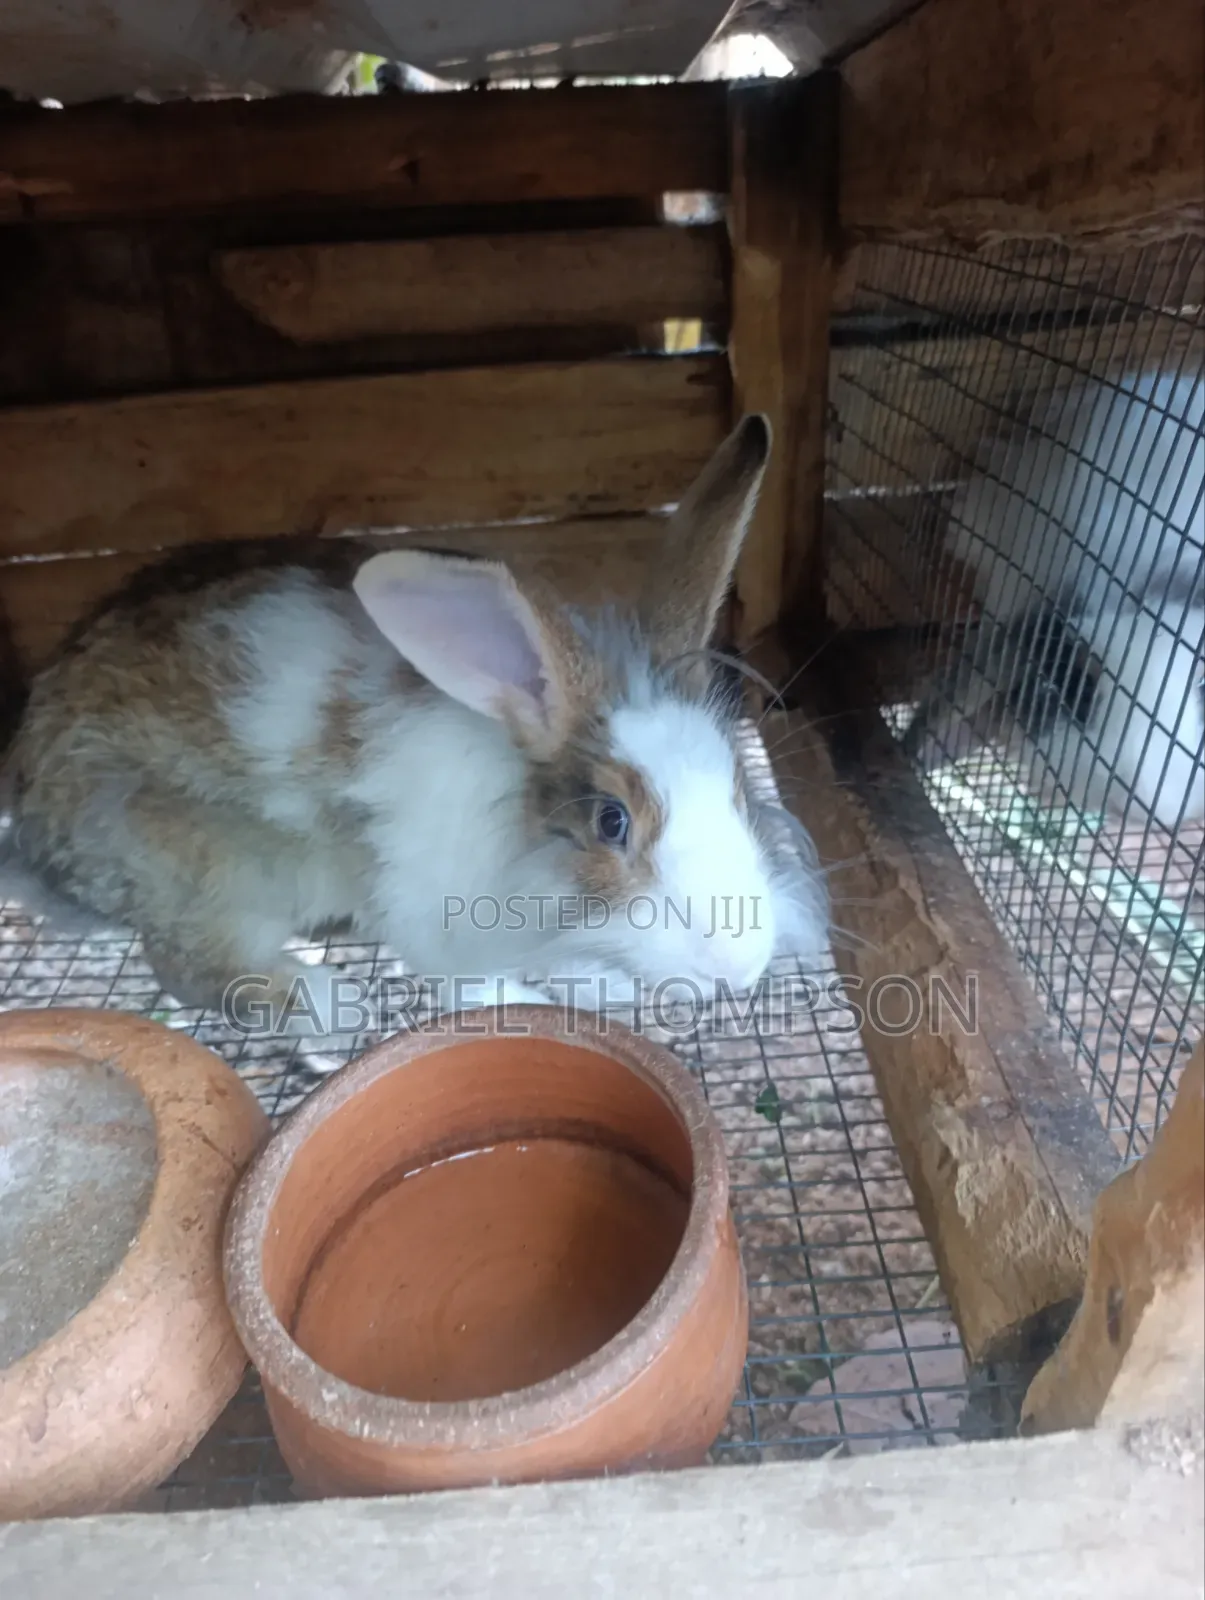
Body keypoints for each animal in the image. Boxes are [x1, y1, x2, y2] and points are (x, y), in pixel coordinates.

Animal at [0, 415, 829, 1038]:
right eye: (611, 821)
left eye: (738, 791)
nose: (736, 968)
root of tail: (37, 835)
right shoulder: (439, 917)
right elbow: (473, 983)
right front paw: (533, 1001)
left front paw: (607, 985)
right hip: (205, 868)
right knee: (194, 966)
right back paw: (325, 1009)